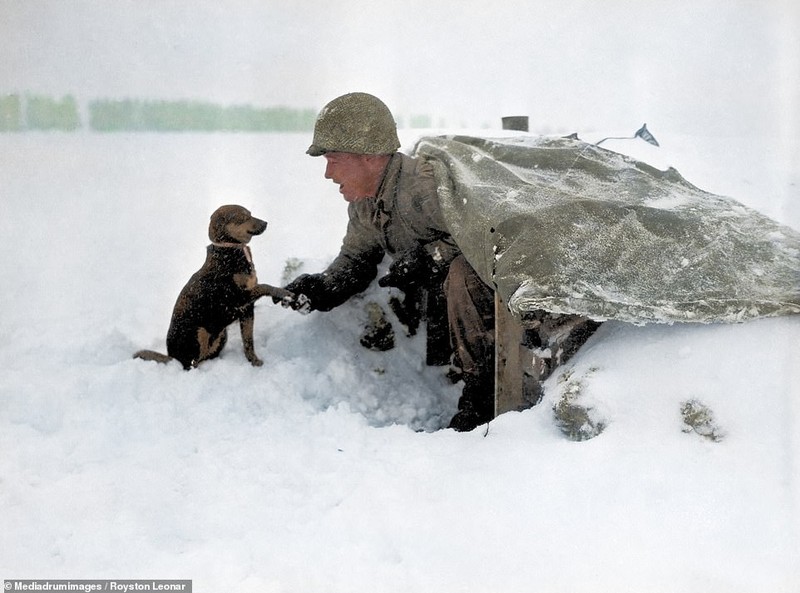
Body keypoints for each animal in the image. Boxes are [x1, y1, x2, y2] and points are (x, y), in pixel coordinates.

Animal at [135, 206, 294, 368]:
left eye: (250, 214)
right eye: (243, 217)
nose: (265, 223)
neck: (229, 252)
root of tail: (173, 357)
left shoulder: (247, 310)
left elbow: (248, 342)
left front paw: (254, 361)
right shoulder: (237, 297)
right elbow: (264, 286)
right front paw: (282, 292)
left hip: (221, 334)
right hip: (199, 333)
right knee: (191, 363)